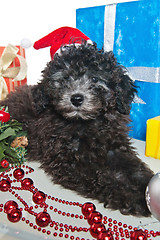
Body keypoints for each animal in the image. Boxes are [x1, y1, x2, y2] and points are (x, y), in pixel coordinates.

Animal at [1, 42, 154, 217]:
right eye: (65, 78)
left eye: (95, 78)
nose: (76, 98)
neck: (86, 123)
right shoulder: (67, 160)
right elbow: (101, 176)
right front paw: (129, 196)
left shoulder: (115, 148)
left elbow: (134, 167)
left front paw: (145, 187)